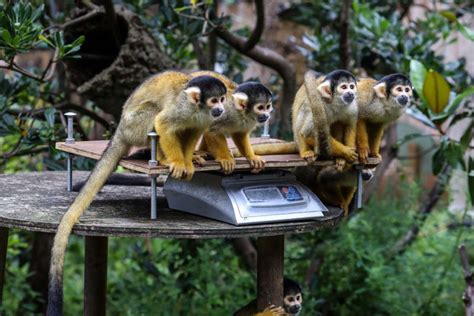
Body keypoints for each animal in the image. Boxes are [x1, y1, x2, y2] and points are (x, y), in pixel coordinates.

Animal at [46, 71, 228, 316]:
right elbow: (163, 122)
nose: (221, 109)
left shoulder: (205, 119)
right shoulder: (182, 108)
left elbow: (193, 131)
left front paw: (189, 160)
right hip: (134, 126)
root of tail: (120, 129)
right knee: (154, 115)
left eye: (222, 99)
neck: (199, 109)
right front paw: (177, 162)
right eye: (214, 100)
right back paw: (160, 157)